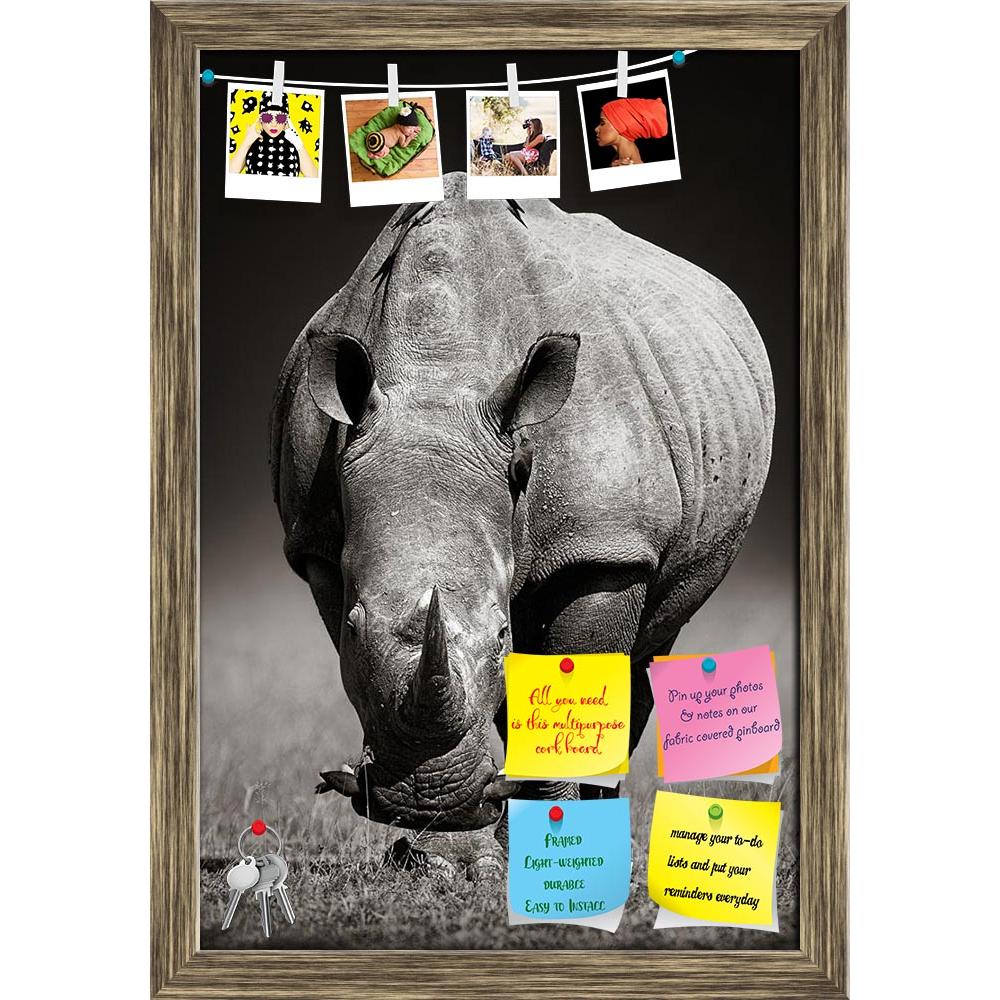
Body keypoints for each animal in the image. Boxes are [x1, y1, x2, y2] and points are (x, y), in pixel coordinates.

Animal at [269, 172, 774, 842]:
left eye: (501, 632)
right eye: (353, 628)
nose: (426, 803)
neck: (437, 378)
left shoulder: (606, 544)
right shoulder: (319, 544)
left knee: (650, 644)